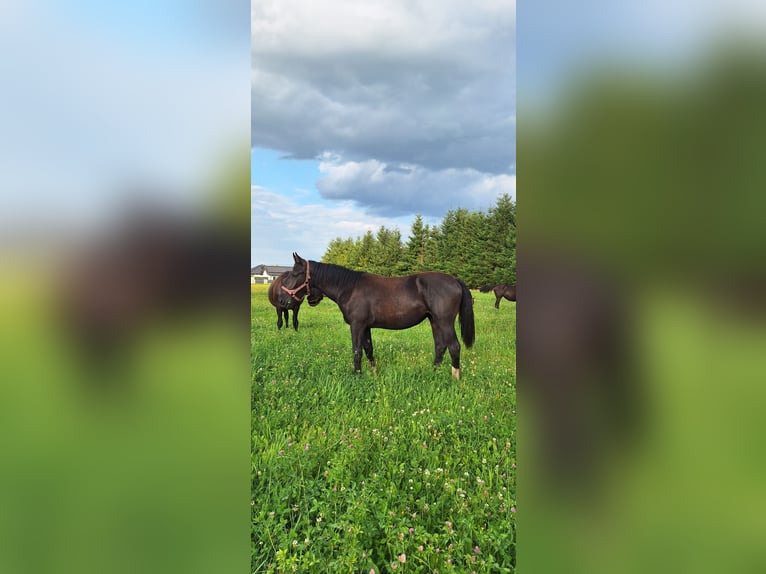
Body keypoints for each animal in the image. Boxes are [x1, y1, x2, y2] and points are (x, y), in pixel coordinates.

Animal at [282, 254, 474, 380]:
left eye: (295, 274)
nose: (283, 300)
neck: (349, 287)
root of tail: (455, 280)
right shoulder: (366, 327)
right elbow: (368, 349)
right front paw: (372, 373)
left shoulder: (357, 325)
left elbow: (357, 350)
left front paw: (356, 375)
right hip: (434, 321)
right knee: (440, 346)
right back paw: (432, 373)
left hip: (445, 322)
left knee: (454, 347)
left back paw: (455, 378)